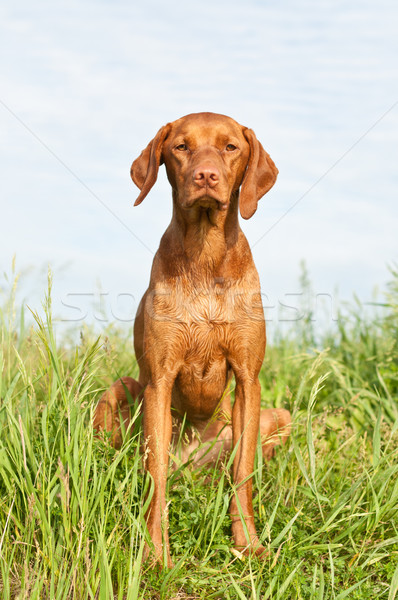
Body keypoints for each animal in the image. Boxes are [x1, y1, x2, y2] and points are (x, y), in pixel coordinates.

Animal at [95, 112, 290, 568]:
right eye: (181, 147)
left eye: (230, 147)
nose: (206, 176)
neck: (205, 255)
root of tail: (195, 465)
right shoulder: (159, 380)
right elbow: (156, 476)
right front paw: (155, 553)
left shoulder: (249, 379)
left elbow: (243, 473)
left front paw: (247, 544)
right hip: (121, 391)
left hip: (279, 416)